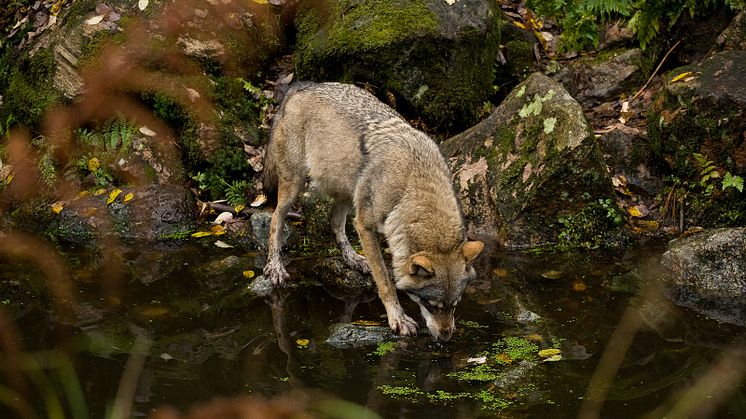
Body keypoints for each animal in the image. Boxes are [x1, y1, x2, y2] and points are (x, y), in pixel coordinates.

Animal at [262, 81, 482, 342]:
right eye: (432, 305)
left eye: (454, 306)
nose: (446, 337)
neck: (415, 184)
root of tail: (300, 88)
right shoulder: (365, 226)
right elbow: (385, 281)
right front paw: (398, 319)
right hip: (294, 186)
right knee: (276, 218)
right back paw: (276, 267)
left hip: (347, 190)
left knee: (334, 221)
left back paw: (354, 259)